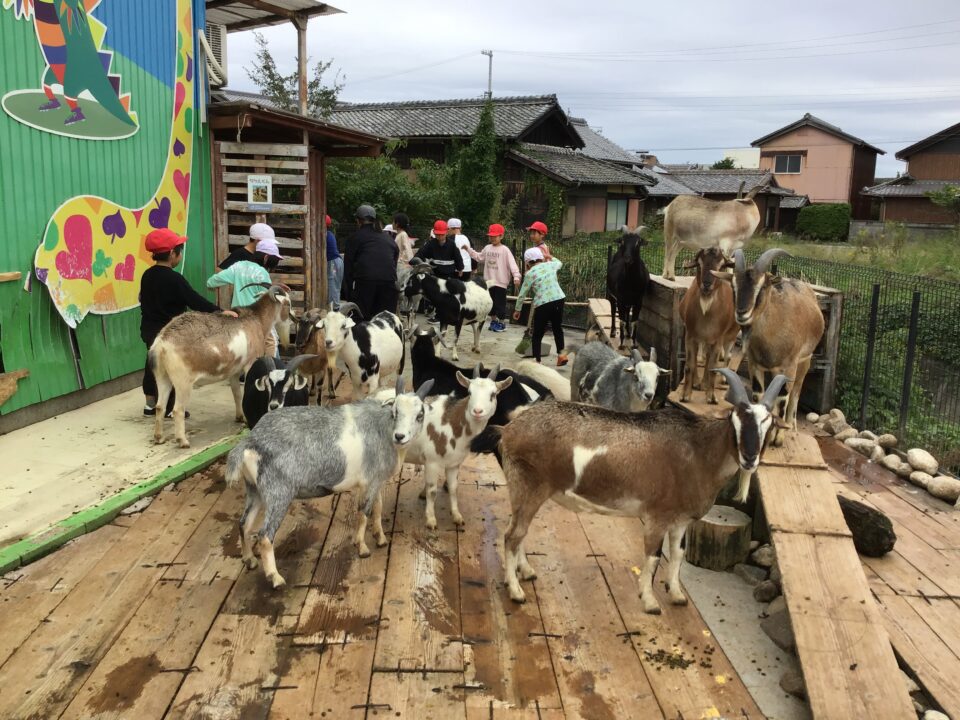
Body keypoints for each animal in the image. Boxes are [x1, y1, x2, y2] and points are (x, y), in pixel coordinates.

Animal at [149, 284, 290, 448]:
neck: (256, 319)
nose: (293, 318)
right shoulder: (250, 363)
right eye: (288, 304)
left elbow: (237, 393)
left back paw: (159, 437)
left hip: (162, 376)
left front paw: (240, 417)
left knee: (160, 406)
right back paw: (182, 441)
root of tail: (161, 343)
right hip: (182, 381)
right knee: (178, 410)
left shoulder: (234, 371)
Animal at [226, 377, 435, 588]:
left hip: (254, 489)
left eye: (420, 415)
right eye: (395, 412)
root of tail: (250, 442)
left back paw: (249, 560)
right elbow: (364, 513)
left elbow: (377, 508)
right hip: (278, 492)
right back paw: (275, 578)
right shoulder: (369, 481)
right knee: (265, 536)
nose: (400, 436)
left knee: (243, 524)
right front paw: (362, 547)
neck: (383, 428)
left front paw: (381, 538)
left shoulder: (376, 480)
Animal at [496, 369, 788, 613]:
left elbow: (678, 554)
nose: (749, 458)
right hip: (528, 485)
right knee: (512, 535)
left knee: (518, 531)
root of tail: (511, 426)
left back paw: (526, 571)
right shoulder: (657, 516)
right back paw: (516, 591)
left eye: (769, 423)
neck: (698, 451)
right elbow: (653, 556)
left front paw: (677, 594)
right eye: (734, 419)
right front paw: (649, 601)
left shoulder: (681, 519)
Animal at [678, 248, 740, 404]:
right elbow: (690, 365)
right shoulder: (690, 336)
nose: (706, 284)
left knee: (725, 357)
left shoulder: (718, 339)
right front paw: (685, 395)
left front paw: (711, 397)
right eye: (699, 264)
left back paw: (713, 382)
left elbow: (713, 367)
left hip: (730, 336)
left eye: (721, 266)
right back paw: (698, 382)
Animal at [722, 248, 824, 441]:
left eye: (762, 286)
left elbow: (783, 397)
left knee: (795, 393)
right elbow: (758, 395)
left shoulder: (789, 366)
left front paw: (778, 438)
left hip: (805, 361)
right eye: (733, 285)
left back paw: (792, 427)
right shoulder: (755, 365)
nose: (742, 313)